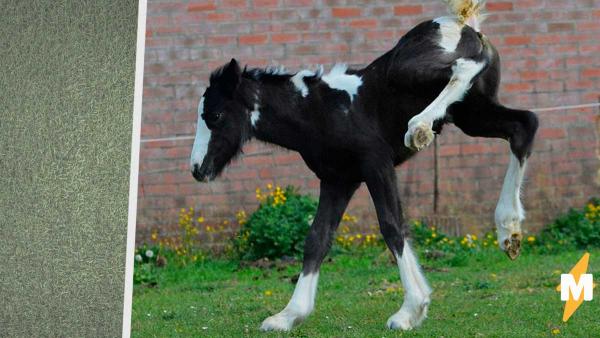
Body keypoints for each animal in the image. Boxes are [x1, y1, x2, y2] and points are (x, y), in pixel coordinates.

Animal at [189, 0, 540, 332]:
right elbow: (317, 239)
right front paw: (288, 316)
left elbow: (392, 226)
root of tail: (463, 24)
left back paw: (419, 128)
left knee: (465, 67)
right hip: (472, 114)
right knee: (524, 125)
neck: (319, 111)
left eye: (215, 115)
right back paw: (509, 229)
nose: (196, 168)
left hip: (412, 73)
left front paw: (411, 310)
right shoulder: (338, 180)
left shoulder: (377, 165)